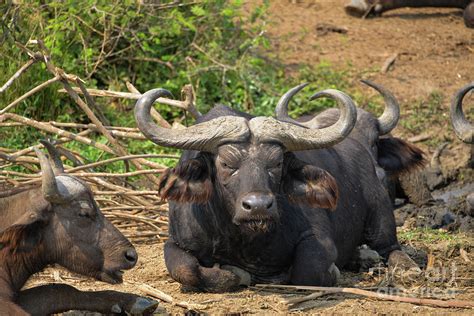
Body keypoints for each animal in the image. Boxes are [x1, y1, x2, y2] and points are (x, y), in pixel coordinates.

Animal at [134, 86, 418, 292]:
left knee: (390, 247)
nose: (258, 206)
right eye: (226, 163)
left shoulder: (318, 239)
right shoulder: (175, 241)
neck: (242, 237)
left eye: (277, 163)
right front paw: (235, 274)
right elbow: (186, 270)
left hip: (381, 213)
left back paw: (404, 267)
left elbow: (308, 271)